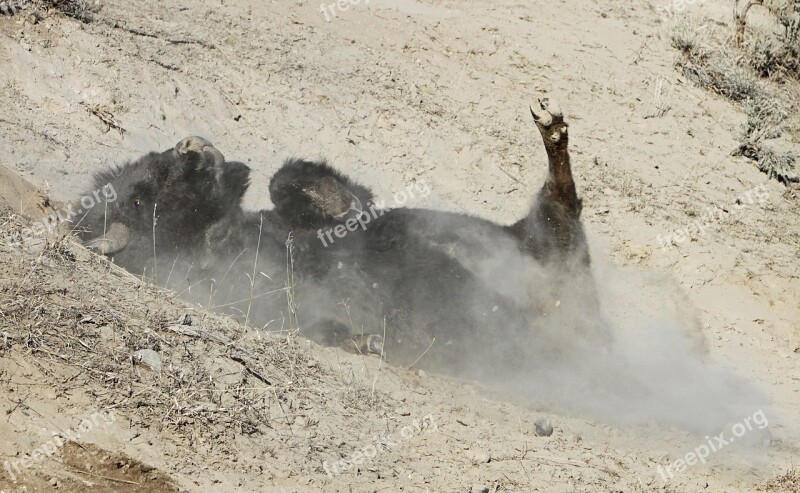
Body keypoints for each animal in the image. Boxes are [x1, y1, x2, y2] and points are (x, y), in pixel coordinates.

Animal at [79, 99, 608, 376]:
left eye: (152, 166)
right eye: (143, 197)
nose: (192, 148)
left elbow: (294, 181)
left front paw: (345, 207)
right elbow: (325, 327)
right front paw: (369, 340)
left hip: (534, 240)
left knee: (560, 200)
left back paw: (551, 128)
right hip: (553, 260)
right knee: (561, 211)